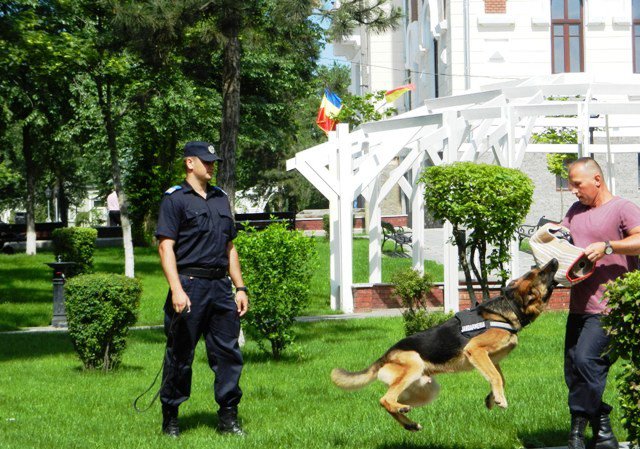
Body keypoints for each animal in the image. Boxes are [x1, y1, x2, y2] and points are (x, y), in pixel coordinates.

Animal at [332, 260, 556, 430]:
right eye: (539, 273)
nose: (554, 260)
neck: (509, 307)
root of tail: (385, 355)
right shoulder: (476, 350)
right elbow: (496, 377)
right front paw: (500, 399)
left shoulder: (491, 359)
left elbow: (500, 378)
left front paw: (492, 398)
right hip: (413, 365)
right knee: (384, 399)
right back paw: (402, 413)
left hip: (425, 389)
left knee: (388, 401)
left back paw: (408, 422)